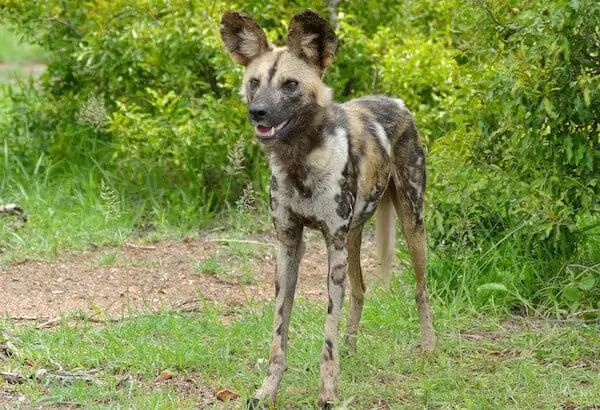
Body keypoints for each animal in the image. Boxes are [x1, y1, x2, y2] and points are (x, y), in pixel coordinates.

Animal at [220, 8, 436, 406]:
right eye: (254, 82)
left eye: (290, 84)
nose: (257, 112)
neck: (300, 161)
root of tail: (395, 102)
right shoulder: (290, 244)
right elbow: (278, 334)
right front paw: (268, 391)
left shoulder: (331, 246)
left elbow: (326, 337)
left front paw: (328, 393)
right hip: (352, 237)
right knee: (360, 289)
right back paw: (352, 349)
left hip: (412, 225)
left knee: (420, 289)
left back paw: (429, 346)